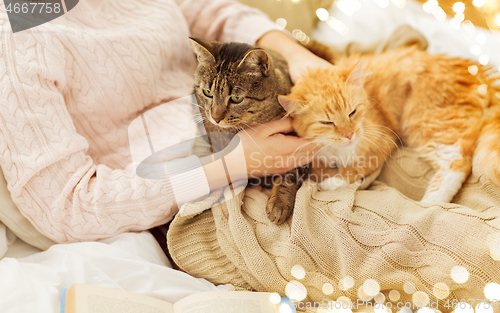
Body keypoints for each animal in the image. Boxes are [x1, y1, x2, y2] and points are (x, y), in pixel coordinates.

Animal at [278, 45, 500, 210]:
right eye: (327, 122)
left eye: (352, 112)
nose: (350, 134)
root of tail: (475, 72)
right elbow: (318, 169)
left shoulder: (382, 142)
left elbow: (353, 171)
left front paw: (329, 183)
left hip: (424, 120)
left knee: (457, 164)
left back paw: (428, 205)